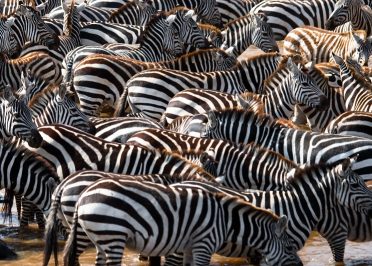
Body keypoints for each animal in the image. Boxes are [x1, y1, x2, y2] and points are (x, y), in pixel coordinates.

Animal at [61, 179, 300, 266]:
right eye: (290, 248)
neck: (225, 221)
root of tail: (84, 195)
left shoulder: (190, 246)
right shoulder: (204, 244)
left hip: (100, 238)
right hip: (112, 236)